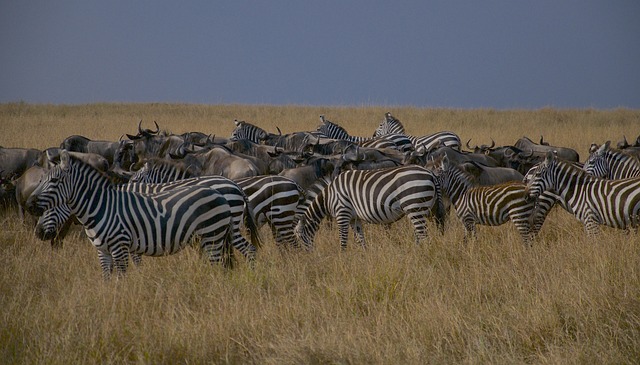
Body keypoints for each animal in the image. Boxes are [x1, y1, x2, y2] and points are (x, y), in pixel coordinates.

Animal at [26, 149, 235, 278]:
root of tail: (221, 192)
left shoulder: (120, 246)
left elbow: (122, 277)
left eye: (54, 181)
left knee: (219, 267)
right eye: (41, 180)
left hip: (212, 236)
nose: (29, 205)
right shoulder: (103, 251)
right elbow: (108, 279)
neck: (101, 207)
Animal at [296, 164, 444, 247]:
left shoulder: (342, 212)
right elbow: (360, 240)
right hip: (428, 210)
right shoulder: (354, 218)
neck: (329, 197)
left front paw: (342, 258)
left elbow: (343, 239)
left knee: (423, 236)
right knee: (421, 234)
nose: (307, 257)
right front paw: (363, 257)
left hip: (414, 207)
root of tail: (431, 174)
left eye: (300, 238)